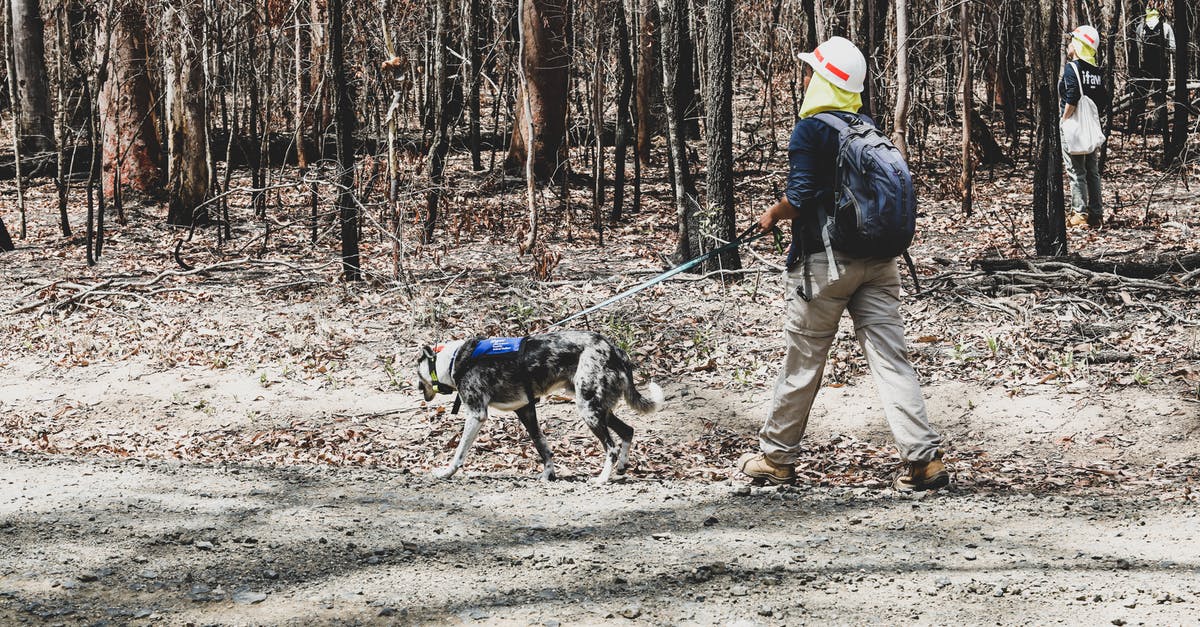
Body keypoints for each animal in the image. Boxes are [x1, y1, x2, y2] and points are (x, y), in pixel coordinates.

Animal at [415, 329, 662, 480]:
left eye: (416, 370)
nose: (418, 388)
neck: (453, 360)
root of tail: (614, 350)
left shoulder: (476, 415)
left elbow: (459, 452)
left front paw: (446, 473)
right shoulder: (525, 411)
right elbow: (543, 447)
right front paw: (548, 475)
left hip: (589, 410)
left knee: (611, 447)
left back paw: (602, 479)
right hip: (600, 410)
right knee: (628, 431)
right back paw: (621, 467)